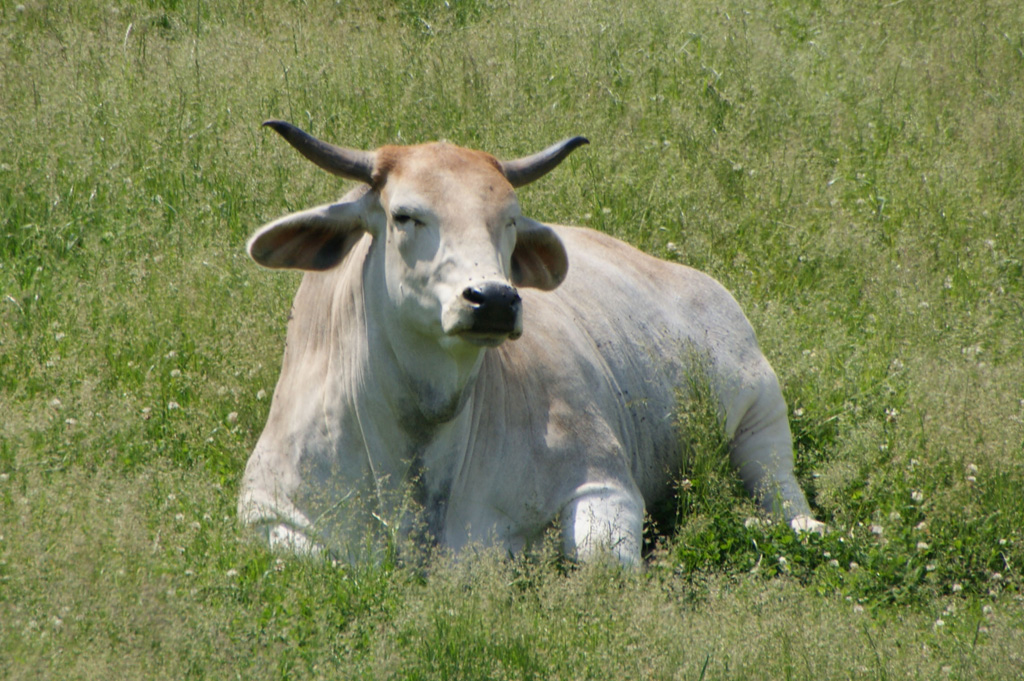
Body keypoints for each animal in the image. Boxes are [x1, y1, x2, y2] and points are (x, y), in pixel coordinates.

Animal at [238, 120, 824, 566]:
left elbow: (598, 563)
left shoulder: (603, 483)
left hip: (761, 412)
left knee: (780, 486)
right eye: (405, 215)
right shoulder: (266, 512)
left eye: (510, 221)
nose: (494, 299)